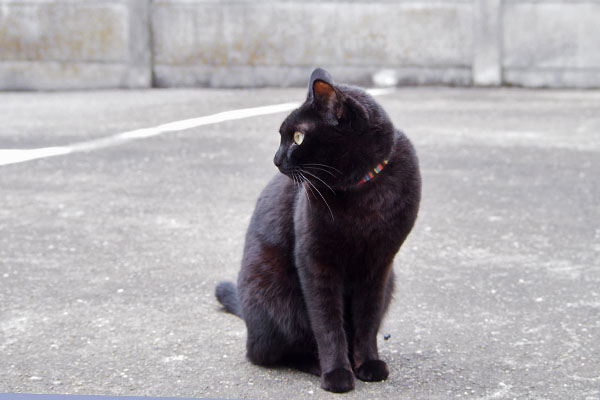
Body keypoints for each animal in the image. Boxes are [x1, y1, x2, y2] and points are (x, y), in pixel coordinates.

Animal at [217, 69, 422, 394]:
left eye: (298, 137)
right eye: (282, 136)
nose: (275, 159)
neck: (363, 195)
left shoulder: (379, 265)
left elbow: (367, 320)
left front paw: (369, 364)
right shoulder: (316, 263)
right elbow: (327, 324)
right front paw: (337, 373)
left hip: (391, 282)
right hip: (273, 294)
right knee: (273, 352)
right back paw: (315, 364)